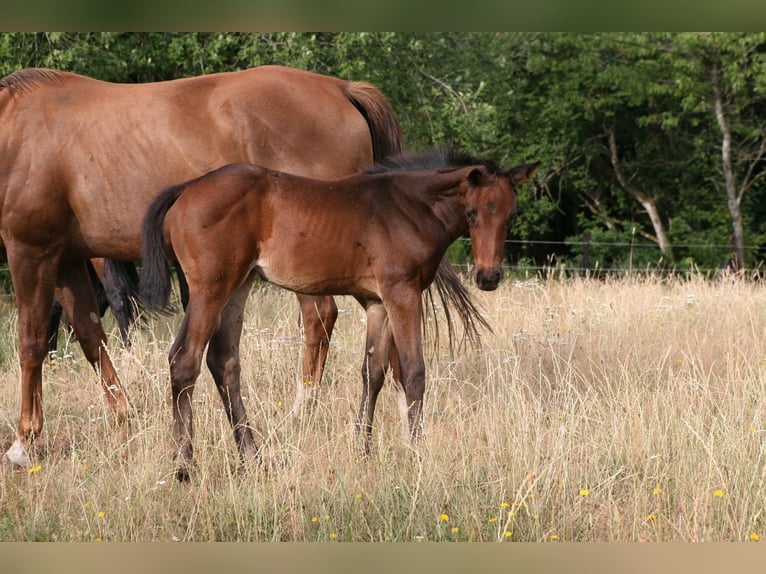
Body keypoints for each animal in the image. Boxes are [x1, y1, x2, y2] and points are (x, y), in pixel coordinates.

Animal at [0, 65, 485, 467]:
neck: (15, 132)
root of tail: (341, 89)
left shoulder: (31, 250)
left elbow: (30, 340)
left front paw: (25, 442)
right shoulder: (66, 260)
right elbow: (88, 336)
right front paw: (123, 420)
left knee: (321, 319)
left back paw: (303, 415)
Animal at [139, 148, 538, 480]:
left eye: (511, 215)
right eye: (472, 213)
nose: (488, 277)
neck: (410, 208)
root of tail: (186, 189)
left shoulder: (377, 302)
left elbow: (373, 373)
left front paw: (364, 450)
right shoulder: (402, 293)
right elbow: (413, 372)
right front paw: (418, 455)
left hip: (239, 286)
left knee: (224, 362)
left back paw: (252, 457)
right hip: (212, 288)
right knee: (184, 359)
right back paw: (185, 465)